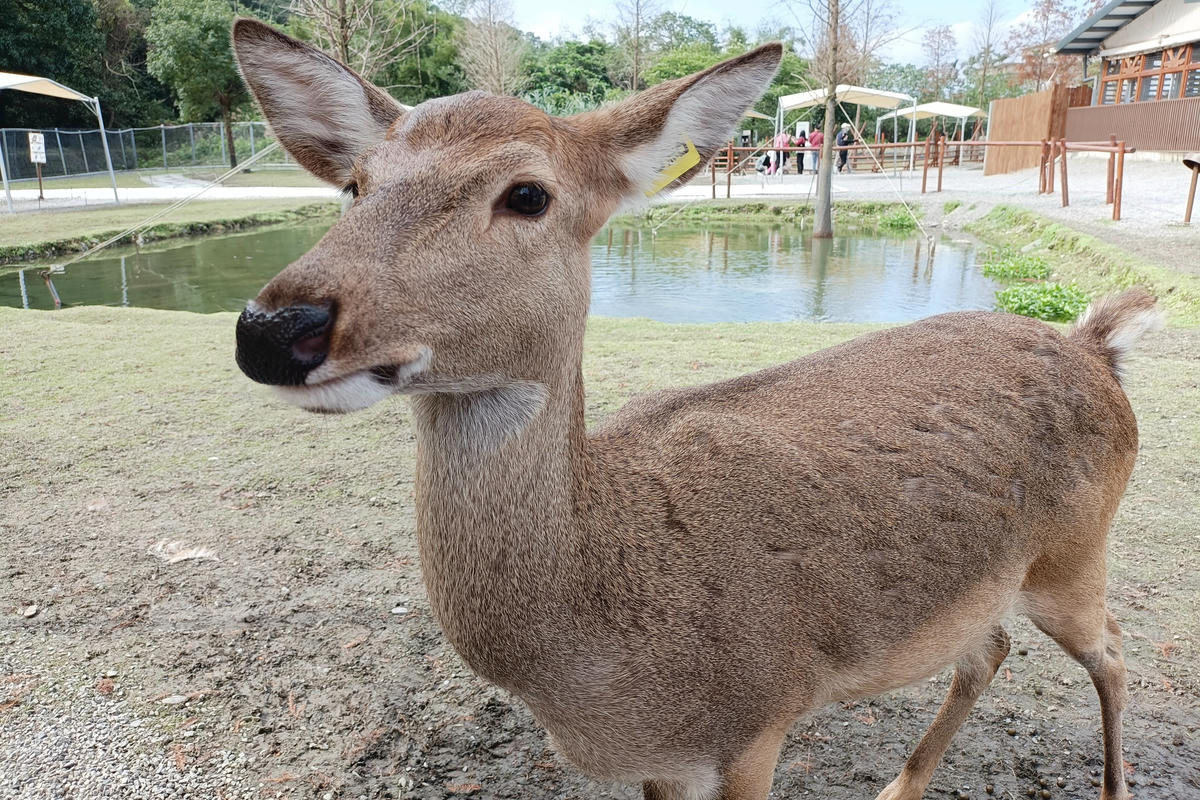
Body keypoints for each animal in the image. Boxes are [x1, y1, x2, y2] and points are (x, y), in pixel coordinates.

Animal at [230, 19, 1161, 800]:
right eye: (354, 184)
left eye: (528, 194)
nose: (274, 327)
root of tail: (1096, 344)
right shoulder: (666, 762)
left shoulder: (761, 718)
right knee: (990, 647)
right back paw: (900, 786)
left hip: (1075, 551)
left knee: (1114, 651)